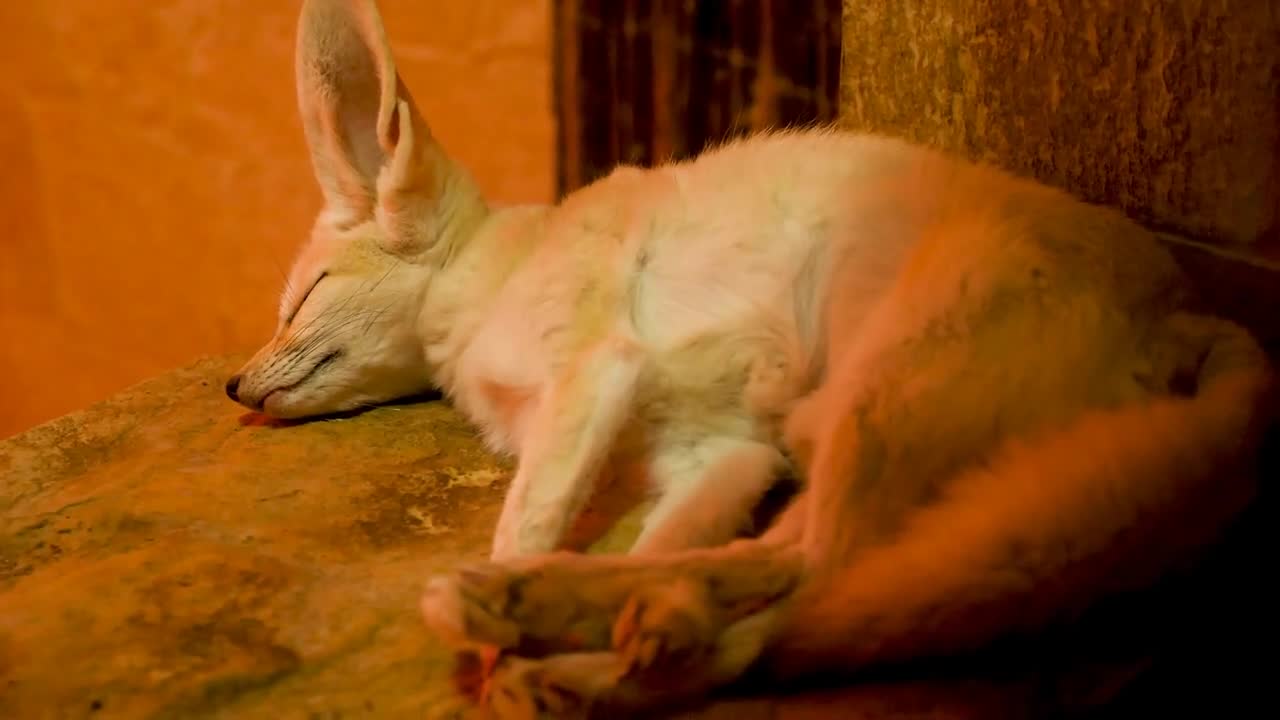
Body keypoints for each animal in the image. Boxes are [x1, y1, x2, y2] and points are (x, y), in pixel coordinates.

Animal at [225, 0, 1274, 712]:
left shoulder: (594, 370)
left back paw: (529, 609)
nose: (234, 384)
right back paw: (609, 651)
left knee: (820, 571)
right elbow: (668, 537)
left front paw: (512, 601)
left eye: (302, 299)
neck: (489, 279)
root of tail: (1183, 310)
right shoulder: (723, 452)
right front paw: (595, 626)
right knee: (777, 594)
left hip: (877, 394)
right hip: (833, 426)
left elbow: (529, 517)